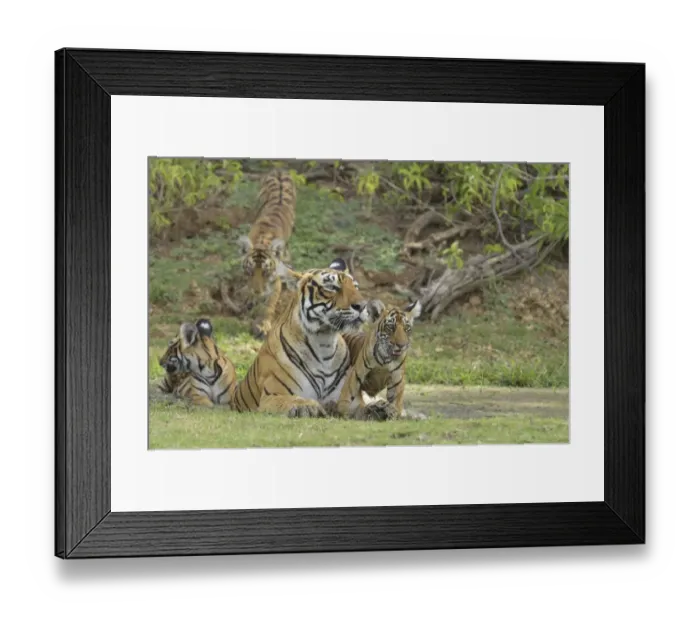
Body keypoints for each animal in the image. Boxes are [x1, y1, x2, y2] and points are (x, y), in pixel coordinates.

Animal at [231, 258, 369, 418]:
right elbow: (294, 400)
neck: (324, 342)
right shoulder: (272, 396)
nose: (362, 306)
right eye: (331, 287)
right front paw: (309, 406)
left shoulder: (351, 400)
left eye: (356, 286)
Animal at [237, 169, 297, 339]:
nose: (257, 291)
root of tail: (279, 169)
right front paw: (250, 297)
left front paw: (262, 325)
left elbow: (269, 303)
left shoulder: (275, 279)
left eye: (265, 272)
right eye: (250, 271)